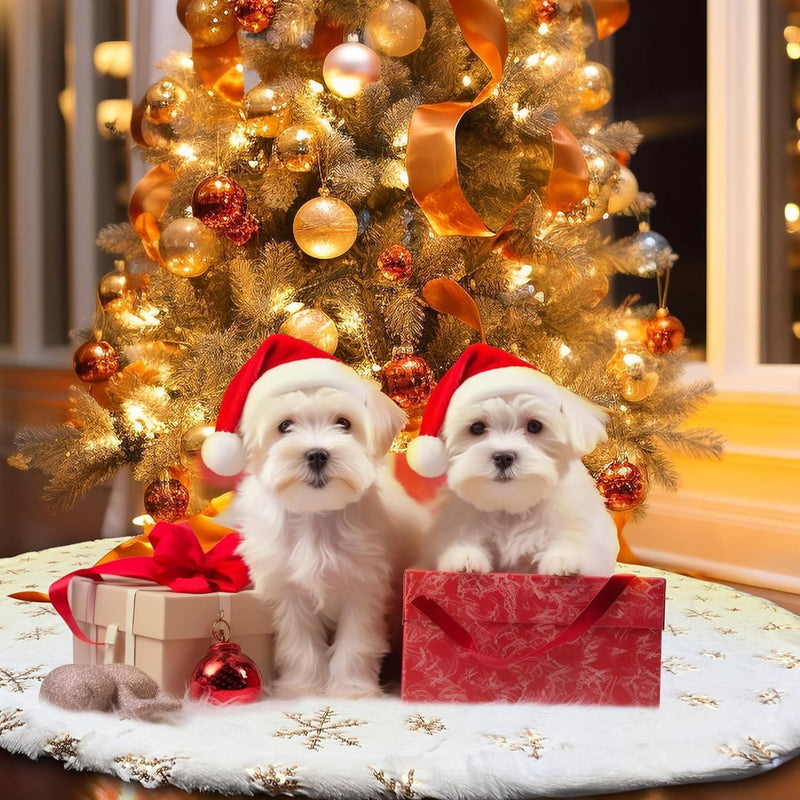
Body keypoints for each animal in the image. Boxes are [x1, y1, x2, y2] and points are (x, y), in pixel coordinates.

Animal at [202, 334, 424, 696]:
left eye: (344, 423)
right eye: (284, 426)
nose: (317, 454)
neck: (316, 514)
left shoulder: (363, 585)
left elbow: (357, 641)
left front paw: (351, 688)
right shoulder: (287, 588)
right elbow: (299, 642)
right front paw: (303, 687)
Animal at [406, 342, 620, 576]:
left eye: (535, 426)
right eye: (477, 428)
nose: (503, 457)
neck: (511, 508)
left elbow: (574, 541)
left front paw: (565, 559)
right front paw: (464, 557)